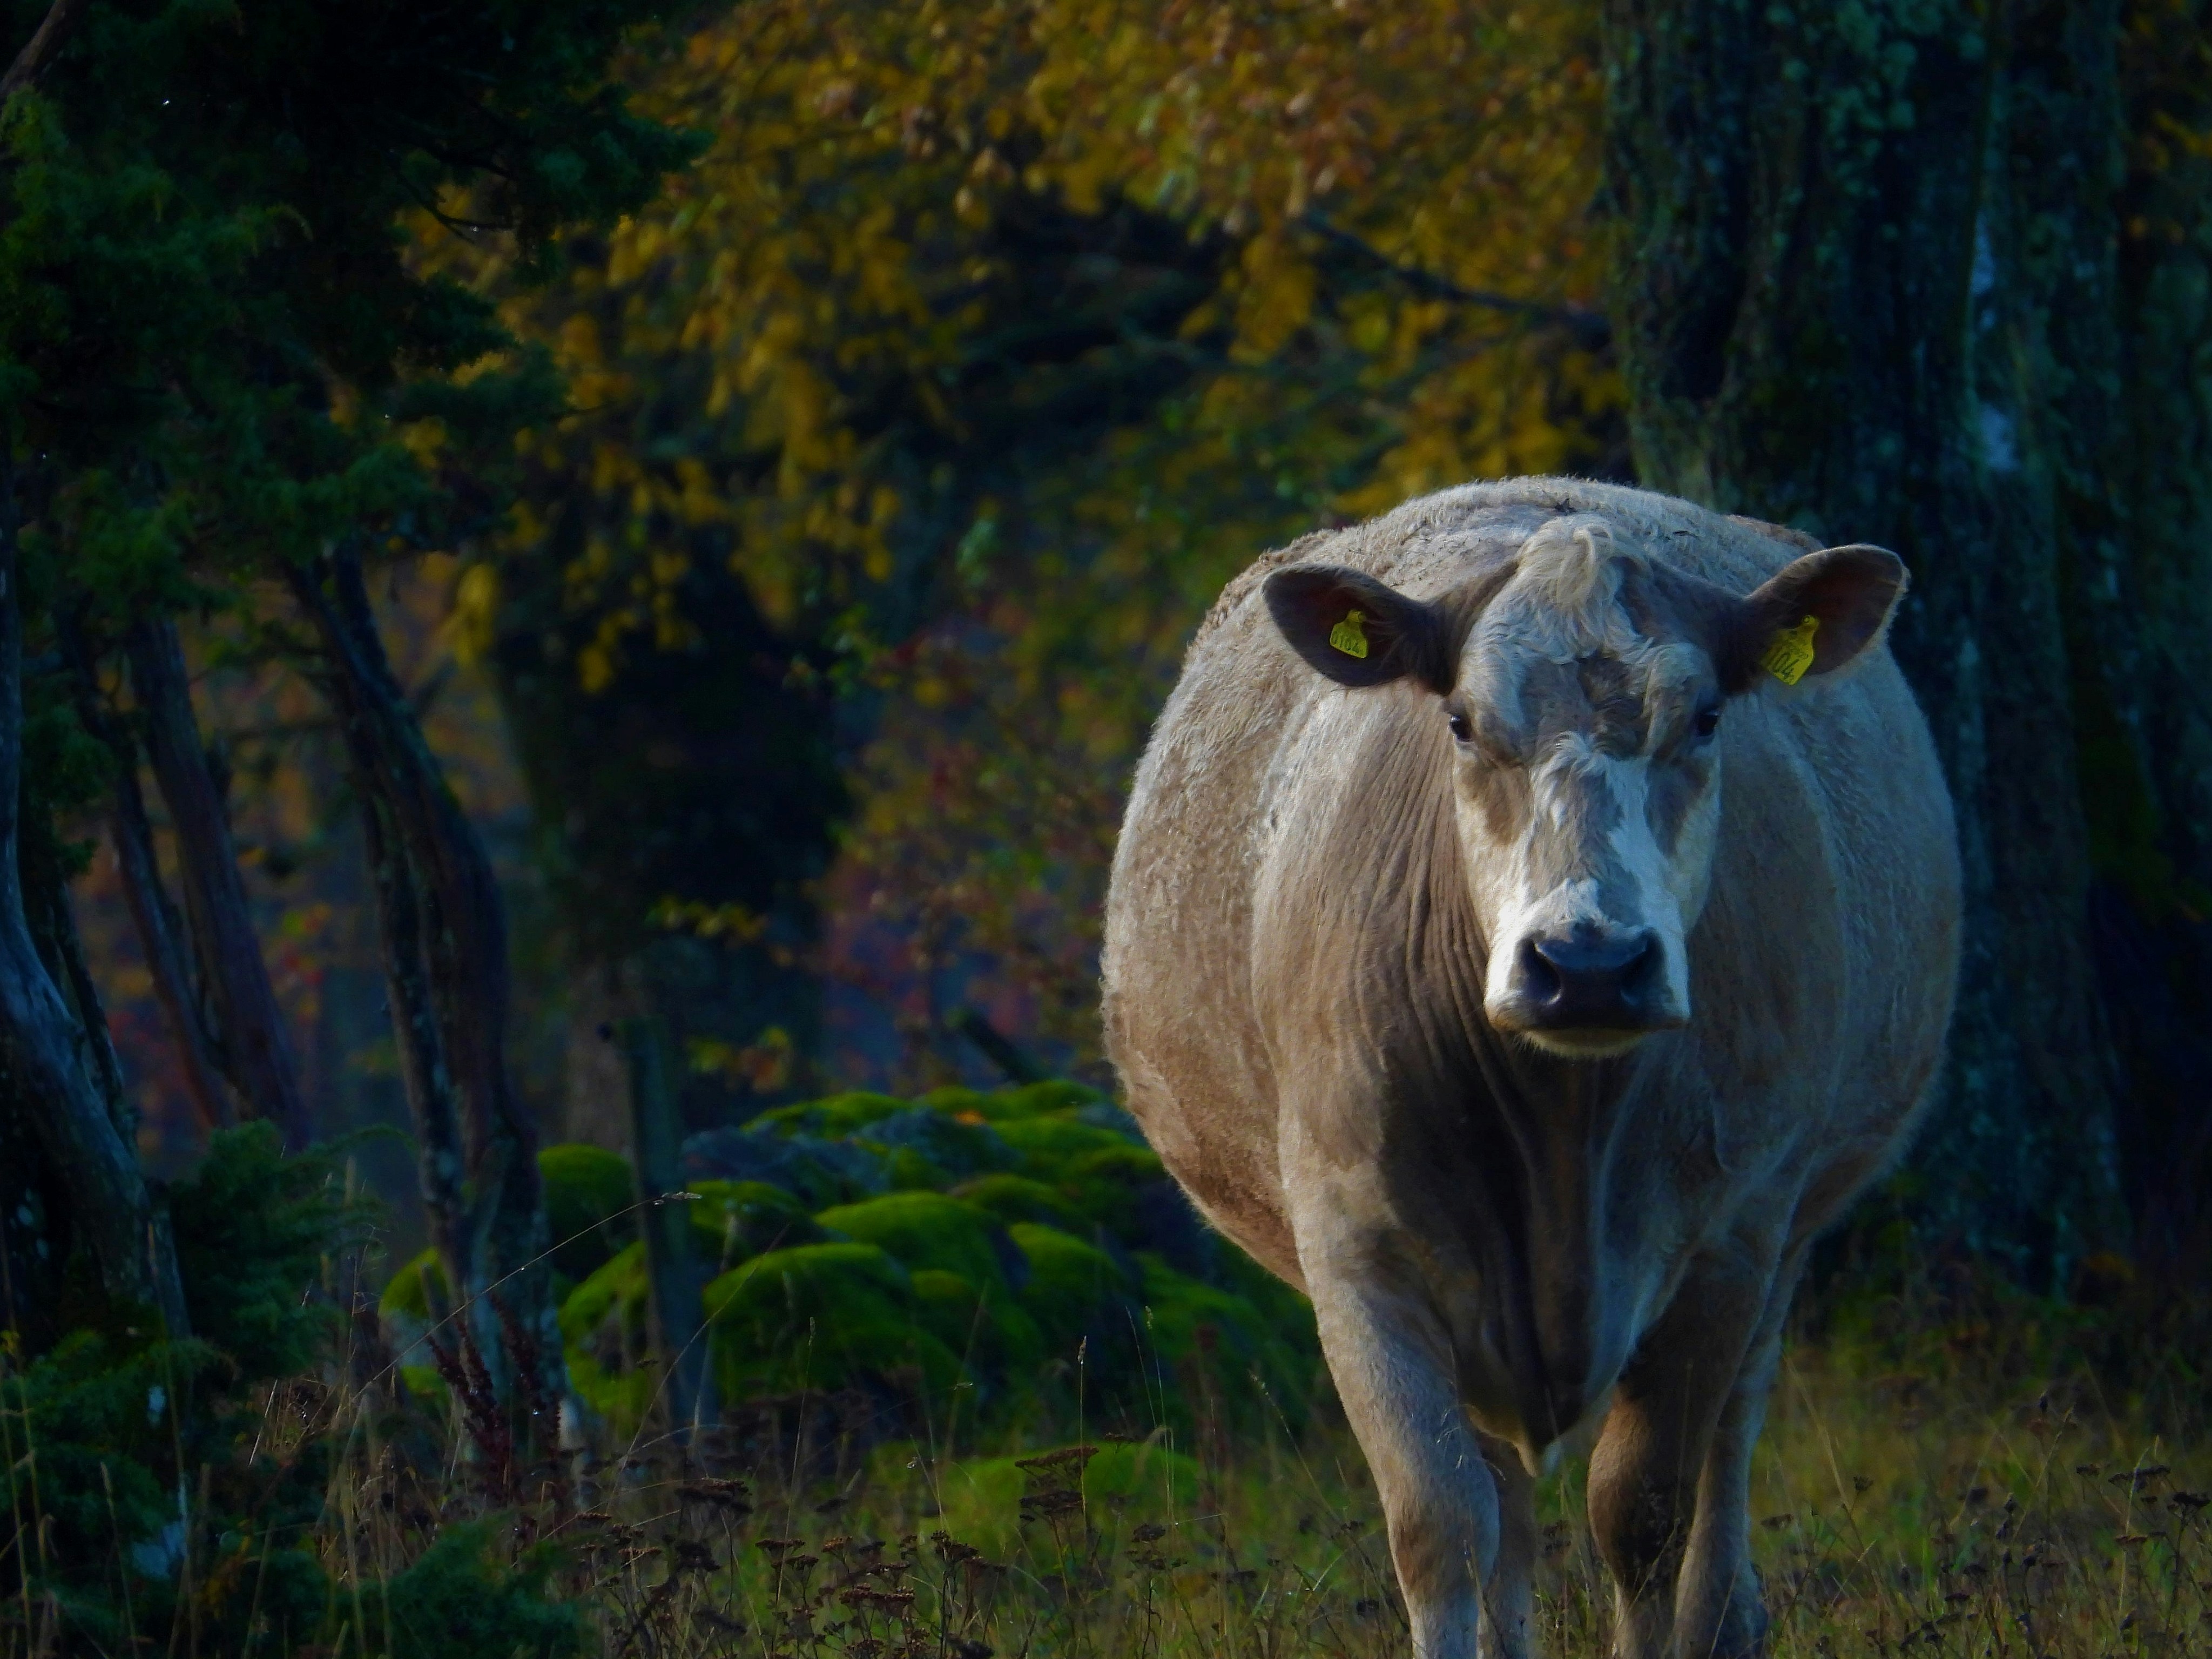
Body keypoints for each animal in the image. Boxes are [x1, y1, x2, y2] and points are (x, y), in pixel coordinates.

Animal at [1101, 478, 1960, 1659]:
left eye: (1705, 718)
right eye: (1461, 723)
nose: (1587, 964)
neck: (1563, 1130)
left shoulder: (1731, 1239)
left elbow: (1643, 1513)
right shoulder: (1358, 1250)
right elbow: (1439, 1522)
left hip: (1782, 1237)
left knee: (1723, 1468)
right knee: (1500, 1507)